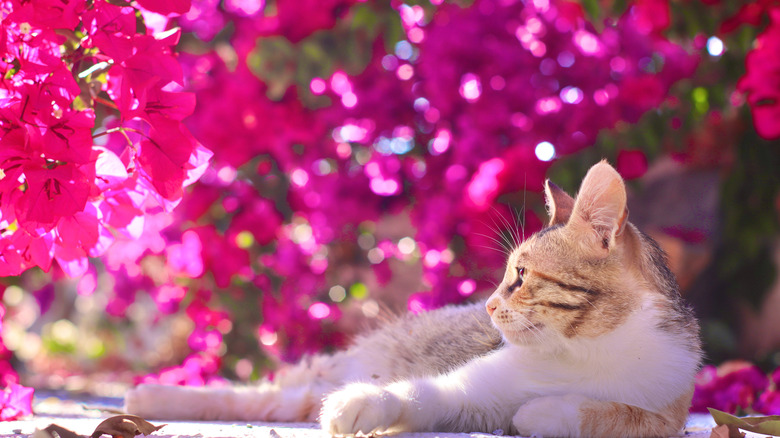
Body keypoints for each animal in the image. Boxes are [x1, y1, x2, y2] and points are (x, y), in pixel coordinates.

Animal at [126, 162, 700, 438]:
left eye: (519, 276)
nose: (489, 305)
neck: (585, 346)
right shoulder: (470, 391)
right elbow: (419, 394)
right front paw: (363, 403)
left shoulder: (668, 411)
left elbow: (611, 414)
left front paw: (543, 411)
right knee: (268, 394)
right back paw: (149, 396)